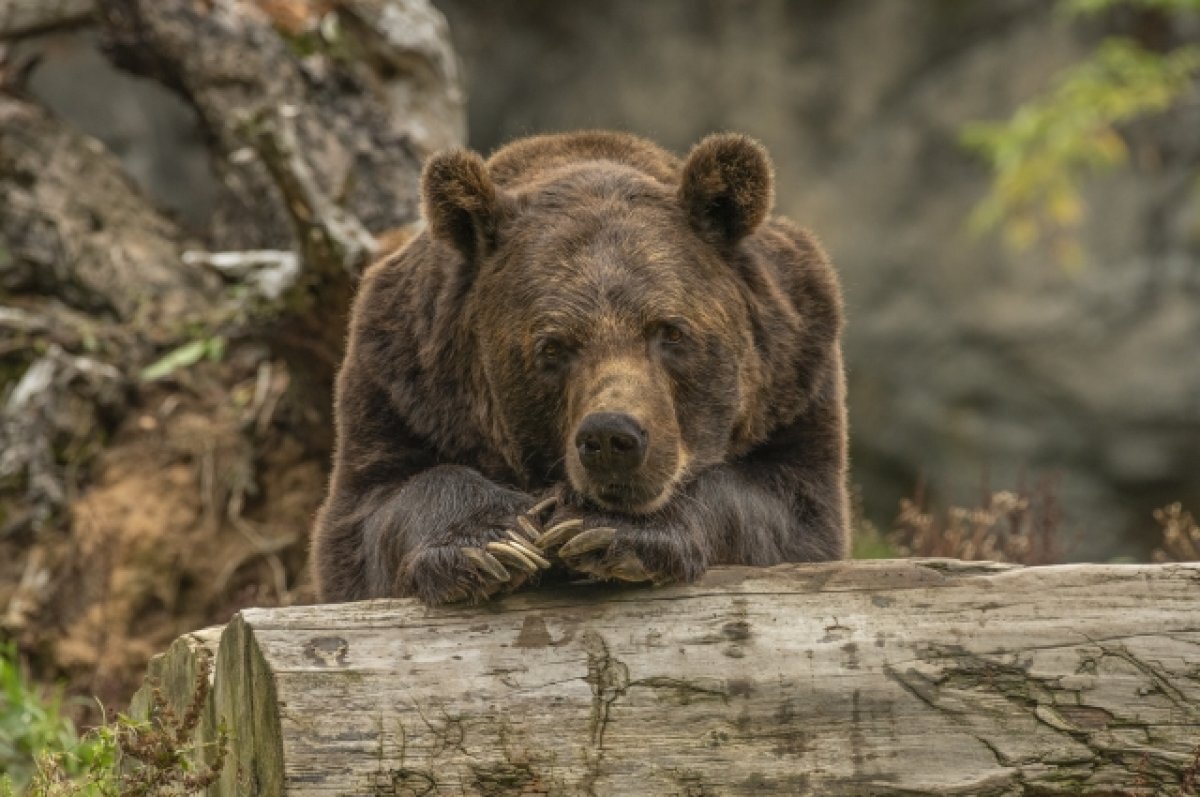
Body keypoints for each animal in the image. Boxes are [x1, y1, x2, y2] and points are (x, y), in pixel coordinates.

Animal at [314, 129, 849, 604]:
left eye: (670, 331)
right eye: (552, 346)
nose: (612, 437)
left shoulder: (796, 376)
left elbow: (787, 510)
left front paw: (604, 529)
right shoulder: (401, 383)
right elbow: (371, 513)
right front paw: (494, 542)